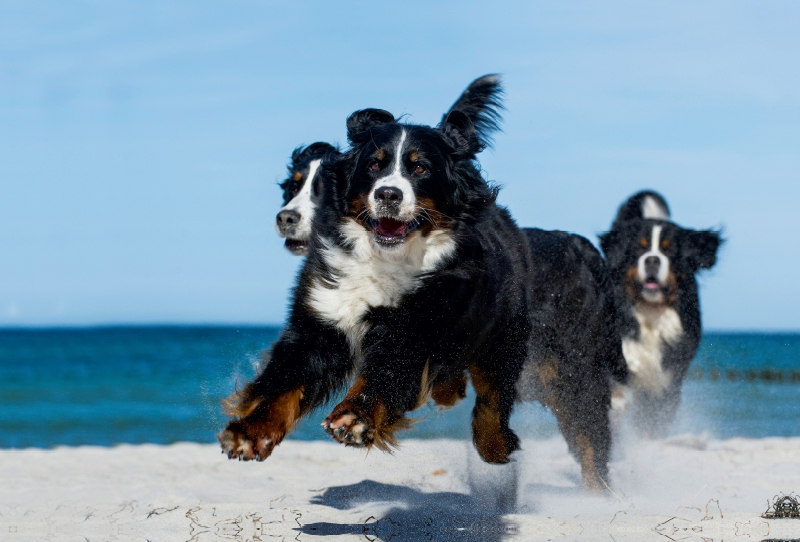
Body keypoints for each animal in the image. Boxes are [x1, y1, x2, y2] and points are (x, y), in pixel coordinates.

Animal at [222, 77, 628, 492]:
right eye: (374, 165)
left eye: (420, 169)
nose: (388, 194)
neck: (385, 259)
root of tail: (584, 249)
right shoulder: (322, 322)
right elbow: (283, 383)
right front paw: (250, 431)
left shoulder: (415, 327)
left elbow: (385, 375)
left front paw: (354, 417)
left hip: (564, 366)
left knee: (561, 426)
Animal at [600, 191, 724, 438]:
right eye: (640, 249)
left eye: (668, 250)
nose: (652, 260)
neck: (651, 312)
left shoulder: (666, 380)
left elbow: (651, 423)